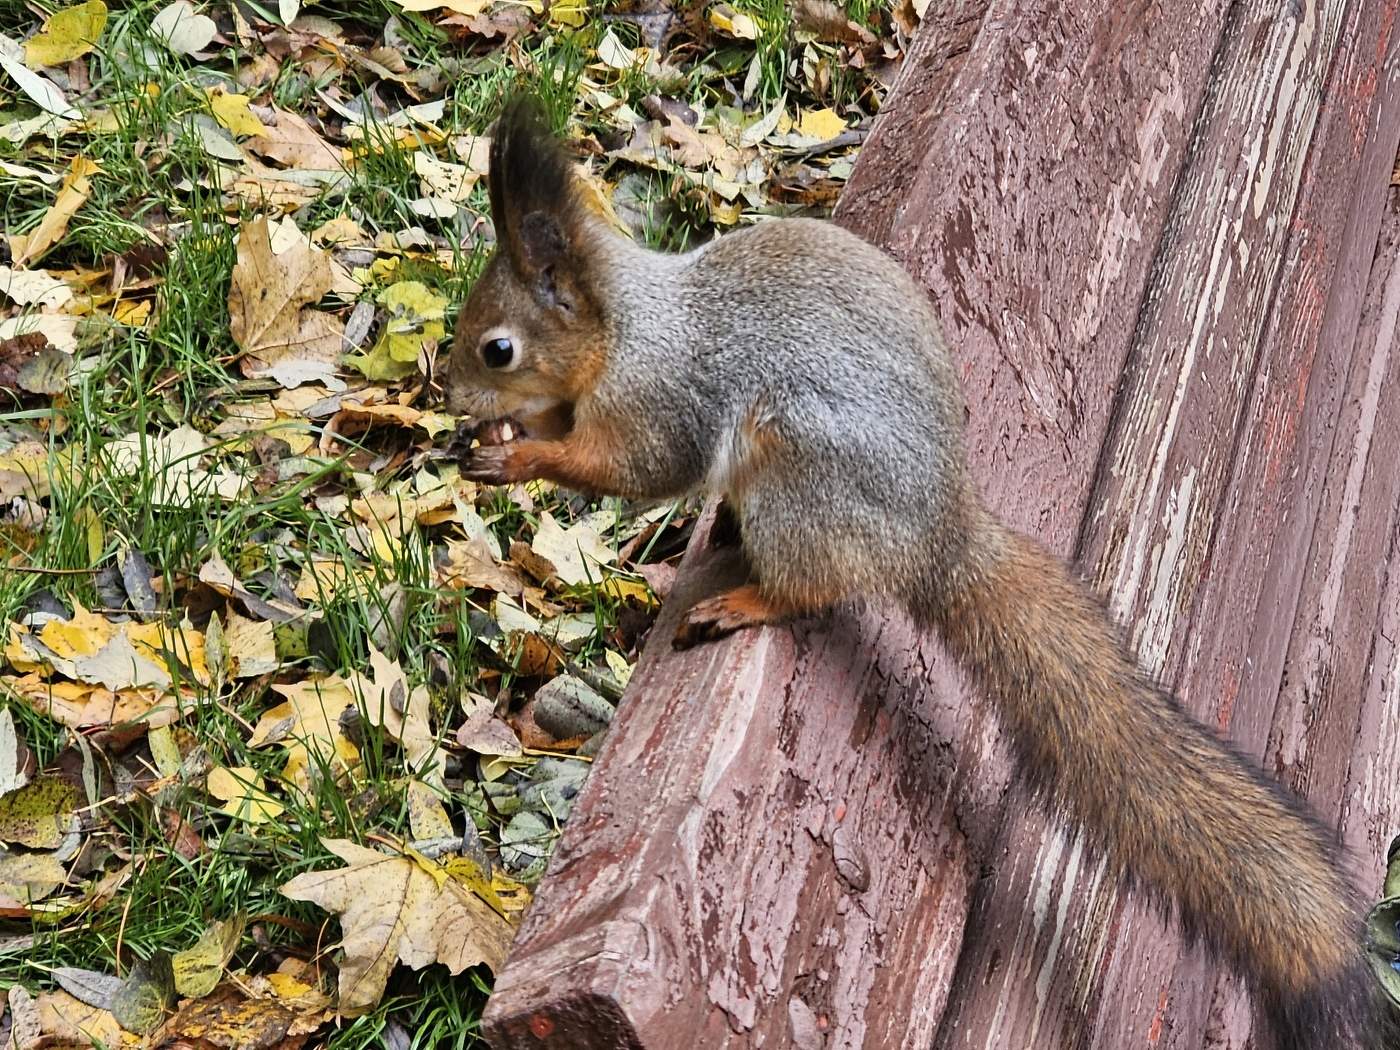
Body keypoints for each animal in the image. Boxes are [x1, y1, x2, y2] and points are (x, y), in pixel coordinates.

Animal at [444, 95, 1393, 1049]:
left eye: (498, 349)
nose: (446, 397)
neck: (629, 328)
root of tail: (936, 539)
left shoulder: (661, 399)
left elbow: (635, 468)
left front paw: (519, 456)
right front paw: (500, 440)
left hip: (800, 472)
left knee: (815, 585)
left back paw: (745, 599)